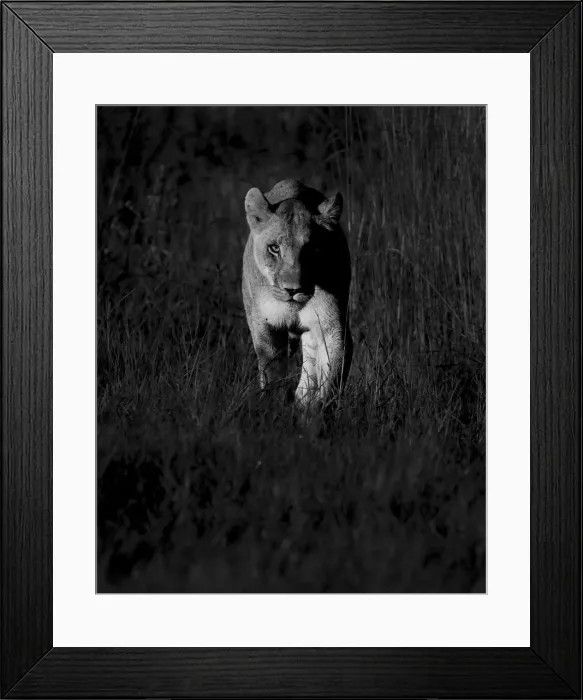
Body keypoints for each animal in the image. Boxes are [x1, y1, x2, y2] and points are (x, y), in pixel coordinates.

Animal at [242, 179, 352, 414]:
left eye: (312, 249)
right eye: (274, 248)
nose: (292, 290)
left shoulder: (331, 326)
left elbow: (332, 376)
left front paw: (316, 412)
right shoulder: (265, 327)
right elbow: (272, 373)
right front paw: (274, 409)